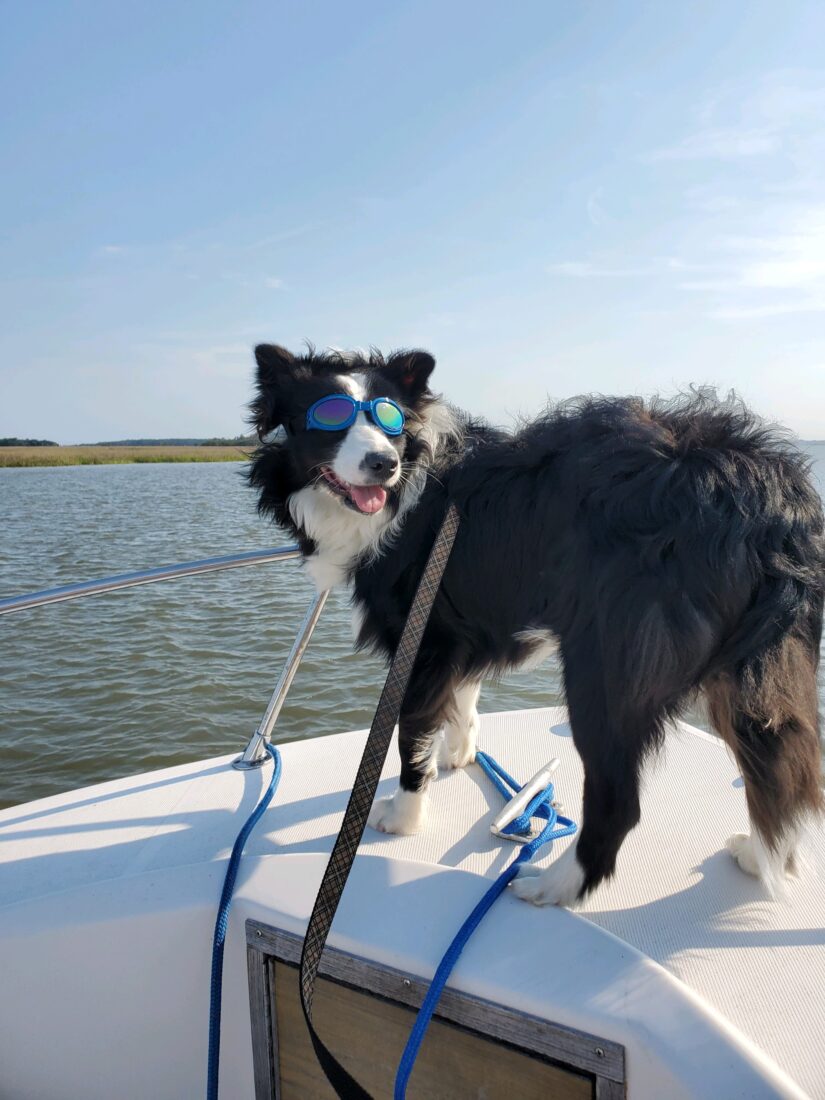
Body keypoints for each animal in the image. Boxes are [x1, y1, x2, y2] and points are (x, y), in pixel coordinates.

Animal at [248, 347, 822, 906]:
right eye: (329, 417)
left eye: (390, 421)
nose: (382, 463)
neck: (411, 483)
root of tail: (765, 493)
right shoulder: (461, 628)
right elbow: (462, 698)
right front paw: (460, 754)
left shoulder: (423, 637)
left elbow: (410, 731)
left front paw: (403, 815)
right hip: (753, 663)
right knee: (780, 759)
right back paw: (757, 856)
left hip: (607, 665)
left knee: (622, 801)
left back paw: (553, 887)